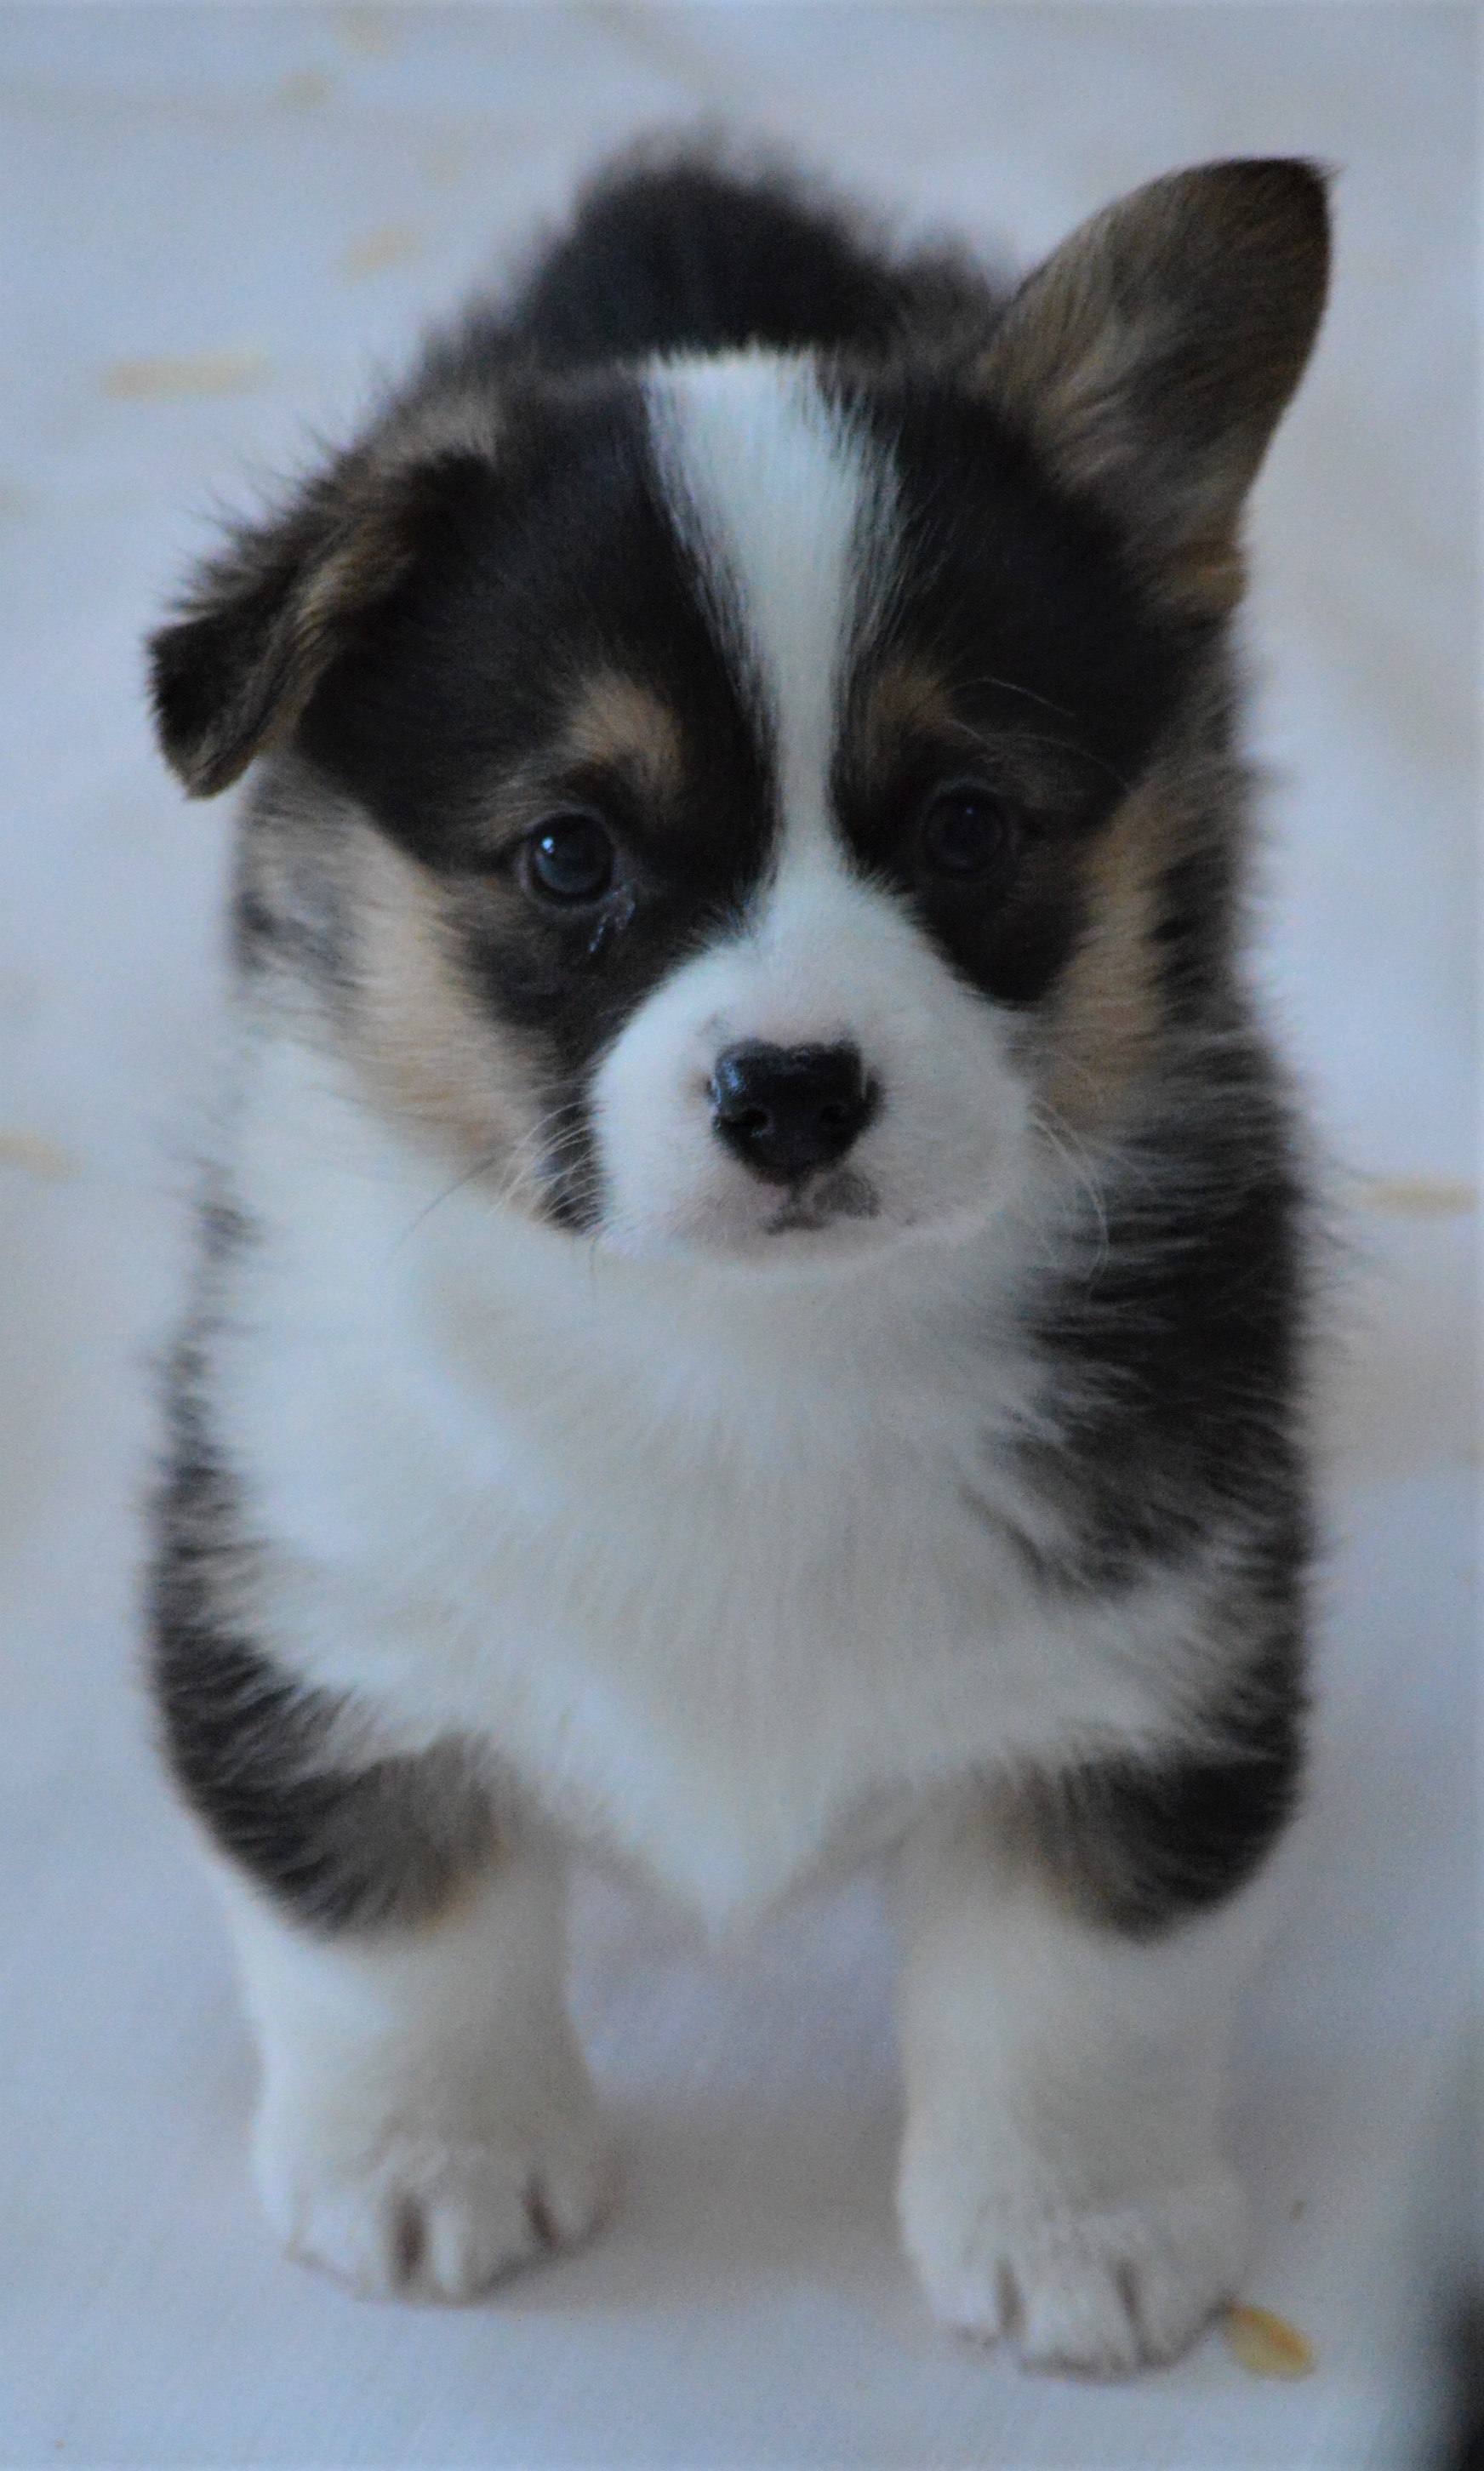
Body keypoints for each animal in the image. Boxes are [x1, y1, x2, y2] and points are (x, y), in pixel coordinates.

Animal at [151, 149, 1323, 2371]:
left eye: (966, 826)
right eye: (567, 854)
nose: (793, 1093)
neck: (740, 1350)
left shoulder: (1148, 1652)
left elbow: (1082, 1981)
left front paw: (1077, 2231)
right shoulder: (311, 1588)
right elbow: (389, 1919)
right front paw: (425, 2165)